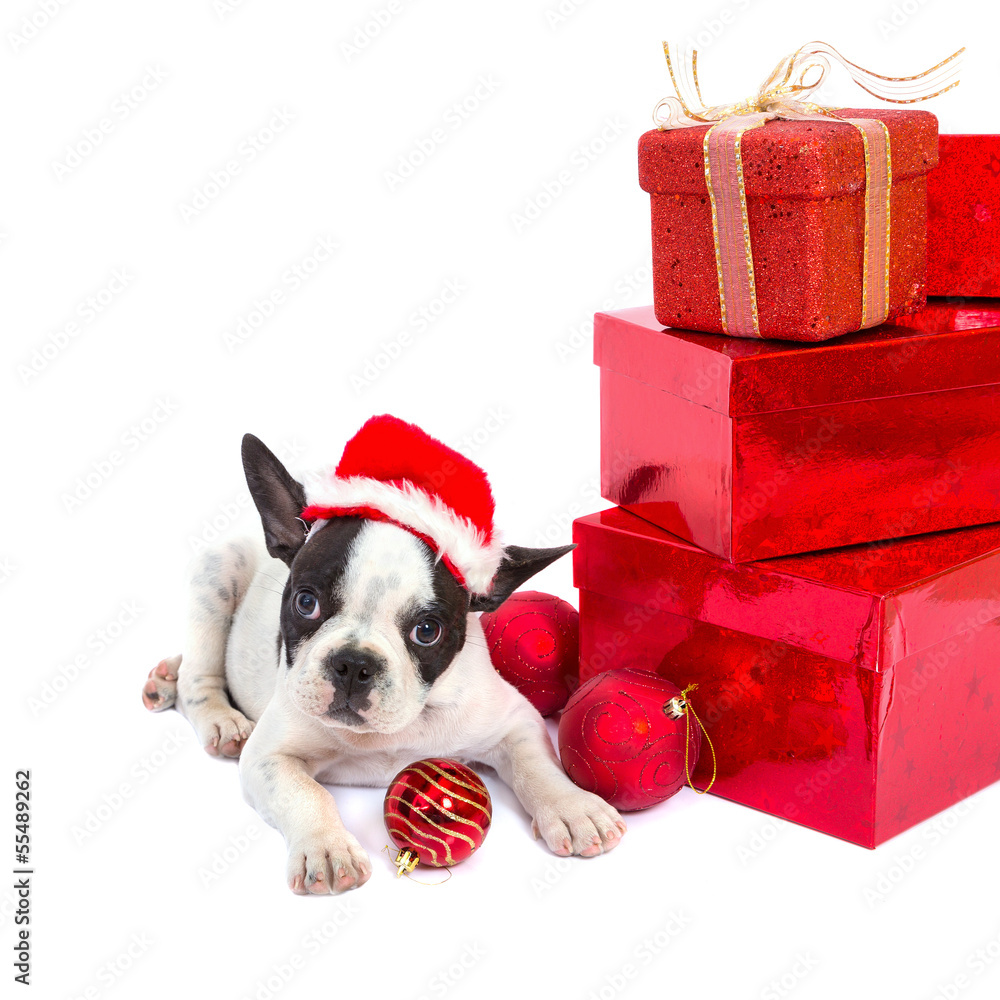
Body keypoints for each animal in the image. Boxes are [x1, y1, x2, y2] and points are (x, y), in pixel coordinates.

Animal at [143, 418, 624, 896]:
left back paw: (165, 675)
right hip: (218, 573)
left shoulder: (514, 720)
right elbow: (306, 793)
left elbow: (536, 764)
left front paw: (573, 808)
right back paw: (217, 717)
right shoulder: (269, 756)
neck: (389, 733)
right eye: (305, 602)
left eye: (427, 631)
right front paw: (326, 848)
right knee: (198, 679)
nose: (354, 665)